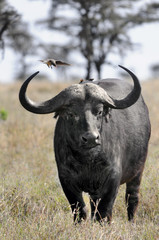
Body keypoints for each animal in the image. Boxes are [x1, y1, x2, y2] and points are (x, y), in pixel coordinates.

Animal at [18, 65, 150, 223]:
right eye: (71, 113)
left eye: (99, 111)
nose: (91, 138)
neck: (88, 159)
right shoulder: (66, 179)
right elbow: (80, 209)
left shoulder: (112, 178)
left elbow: (104, 211)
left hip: (137, 172)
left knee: (132, 199)